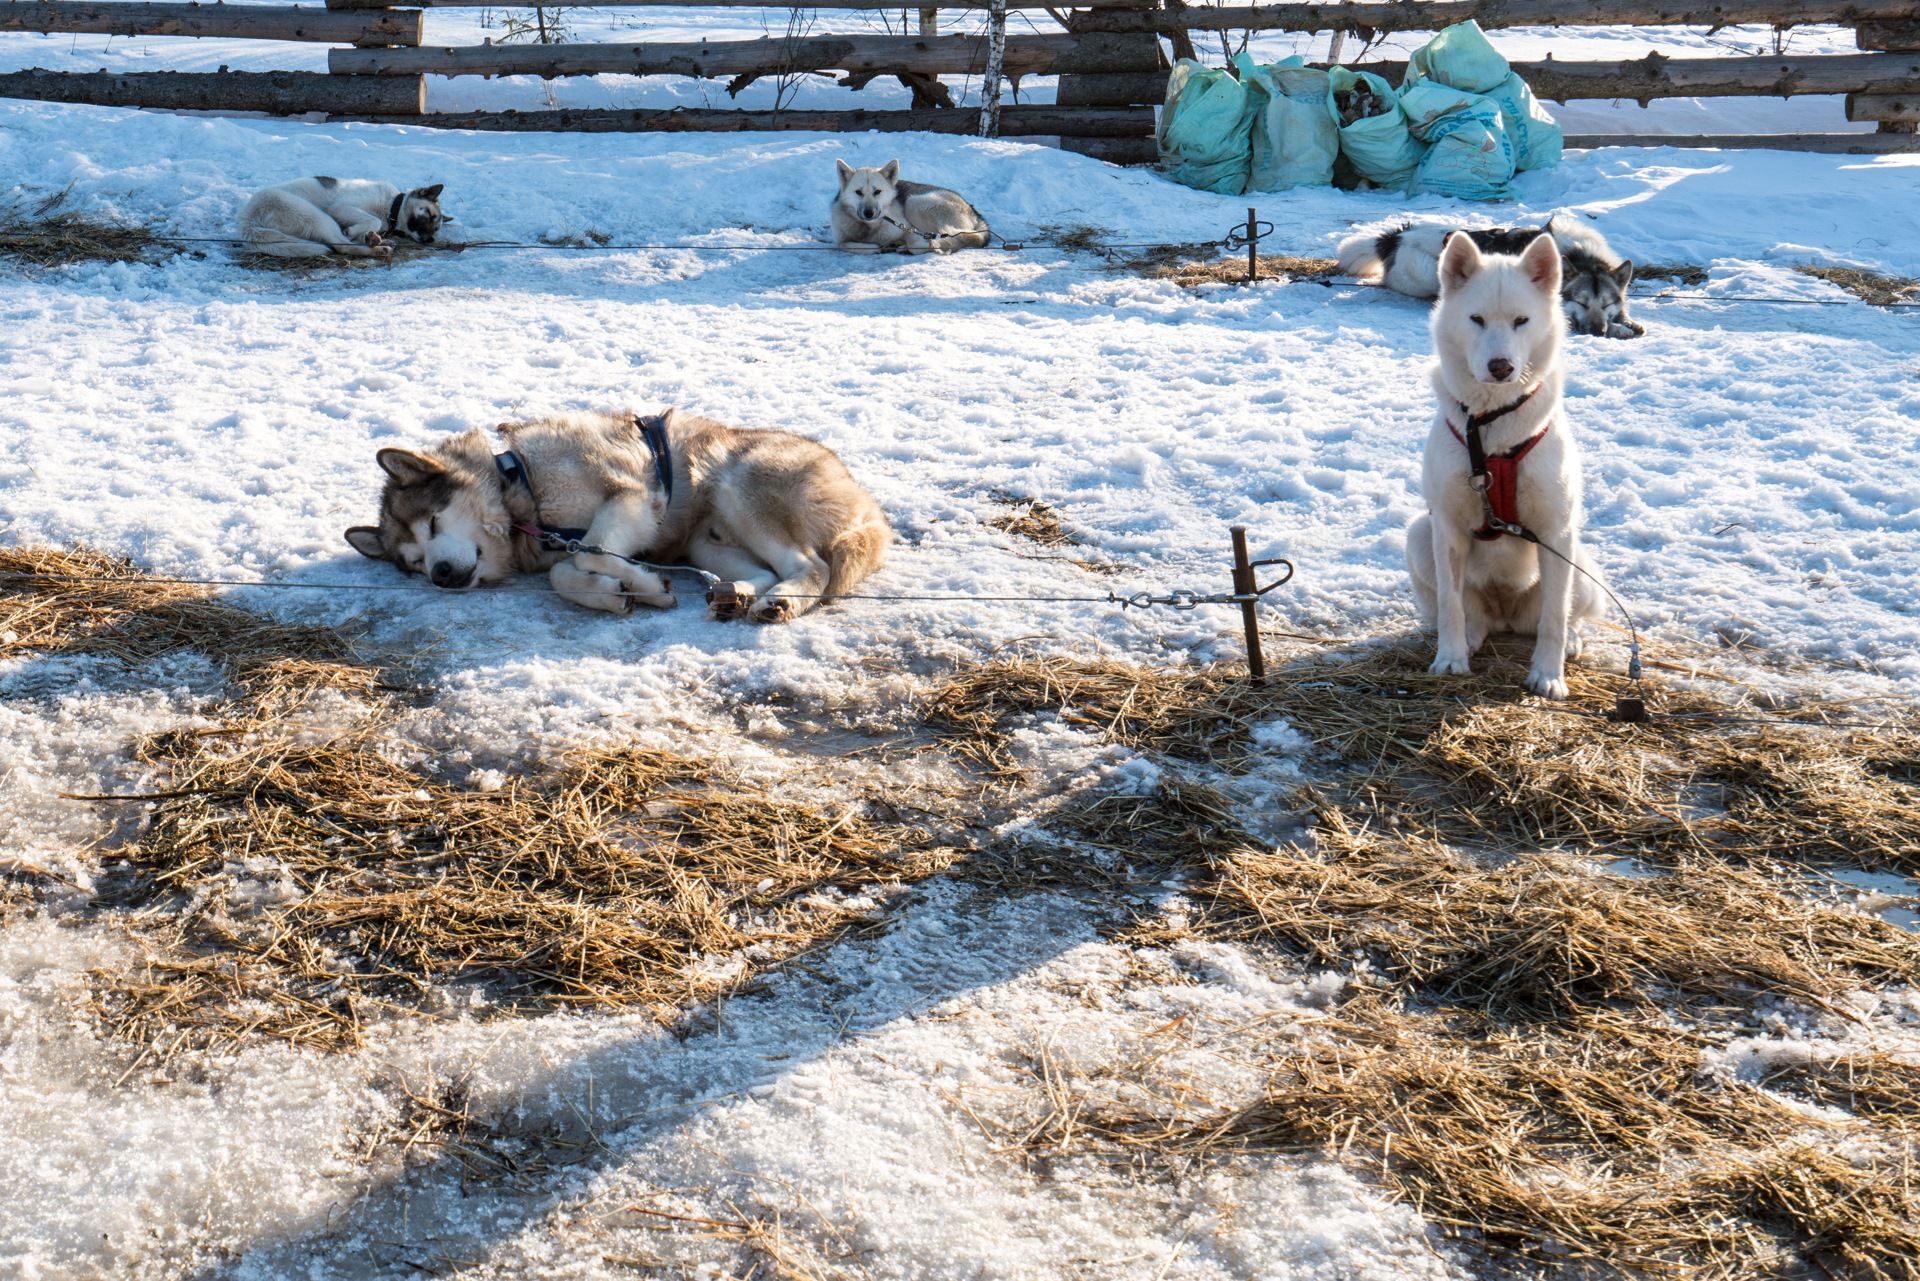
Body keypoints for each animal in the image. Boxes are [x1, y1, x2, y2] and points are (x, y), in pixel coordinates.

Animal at [237, 176, 445, 259]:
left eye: (437, 229)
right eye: (428, 214)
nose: (431, 240)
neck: (390, 205)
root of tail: (247, 219)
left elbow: (368, 226)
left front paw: (369, 236)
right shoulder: (340, 208)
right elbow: (373, 221)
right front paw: (358, 232)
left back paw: (377, 241)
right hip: (318, 216)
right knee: (342, 246)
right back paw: (379, 248)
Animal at [1413, 225, 1605, 695]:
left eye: (1522, 321)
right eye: (1476, 320)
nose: (1501, 366)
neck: (1492, 427)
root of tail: (1505, 616)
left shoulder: (1556, 532)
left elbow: (1554, 616)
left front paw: (1548, 675)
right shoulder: (1446, 528)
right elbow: (1451, 605)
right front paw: (1449, 658)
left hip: (1582, 564)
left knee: (1563, 616)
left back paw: (1570, 642)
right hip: (1419, 534)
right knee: (1468, 613)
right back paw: (1470, 638)